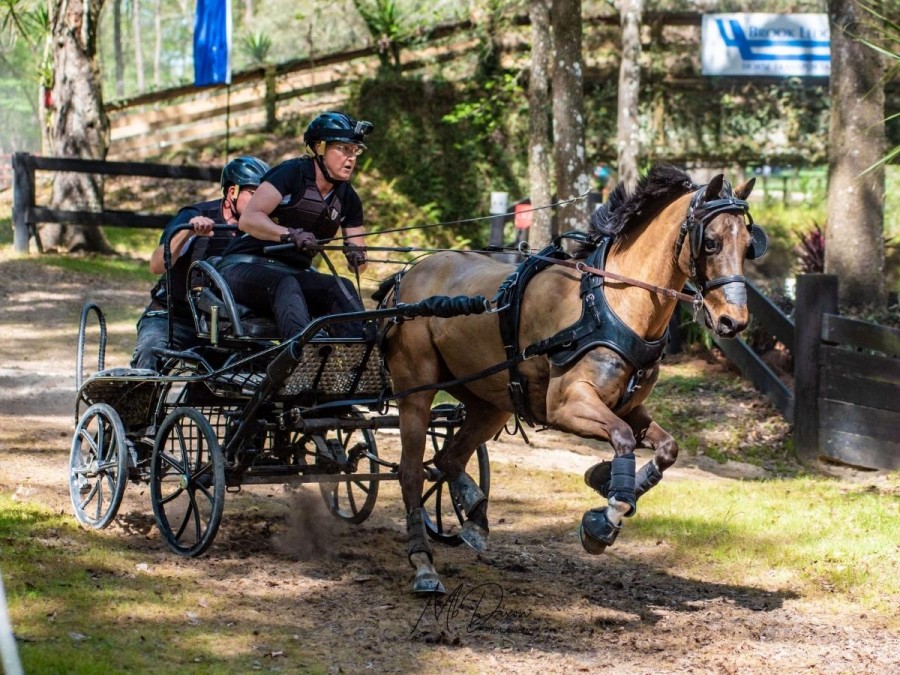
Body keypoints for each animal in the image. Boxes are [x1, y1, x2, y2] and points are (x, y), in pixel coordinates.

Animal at [380, 166, 768, 596]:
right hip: (416, 393)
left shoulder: (629, 406)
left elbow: (667, 448)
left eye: (749, 244)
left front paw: (609, 481)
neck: (610, 304)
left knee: (448, 458)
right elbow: (622, 439)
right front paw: (605, 519)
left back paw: (475, 515)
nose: (734, 321)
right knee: (412, 472)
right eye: (711, 242)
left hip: (491, 402)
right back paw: (423, 564)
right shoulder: (566, 405)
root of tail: (406, 274)